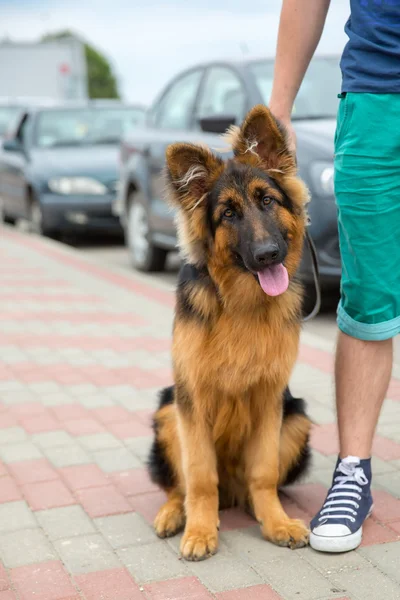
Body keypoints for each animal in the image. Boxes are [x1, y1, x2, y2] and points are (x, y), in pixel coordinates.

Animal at [148, 105, 312, 560]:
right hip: (167, 411)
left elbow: (264, 473)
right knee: (179, 485)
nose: (268, 255)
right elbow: (200, 476)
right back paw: (174, 514)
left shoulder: (269, 398)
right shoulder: (192, 398)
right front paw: (201, 531)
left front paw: (276, 522)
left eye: (267, 200)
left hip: (296, 419)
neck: (242, 305)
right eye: (228, 214)